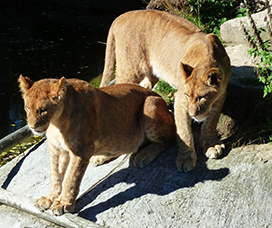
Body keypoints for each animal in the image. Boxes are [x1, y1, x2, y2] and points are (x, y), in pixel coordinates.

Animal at [18, 75, 175, 216]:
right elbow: (55, 176)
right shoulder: (56, 149)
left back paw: (143, 155)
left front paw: (63, 203)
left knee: (168, 139)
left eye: (43, 110)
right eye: (27, 107)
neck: (55, 124)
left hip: (150, 104)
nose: (32, 127)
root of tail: (159, 97)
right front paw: (50, 199)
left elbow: (70, 178)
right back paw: (100, 157)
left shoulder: (82, 150)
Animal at [100, 9, 232, 172]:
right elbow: (183, 130)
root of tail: (119, 17)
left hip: (150, 74)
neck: (207, 57)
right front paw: (186, 158)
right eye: (187, 95)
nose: (193, 114)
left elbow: (211, 122)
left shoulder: (221, 95)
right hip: (130, 69)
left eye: (202, 97)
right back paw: (102, 156)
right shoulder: (180, 99)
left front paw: (210, 145)